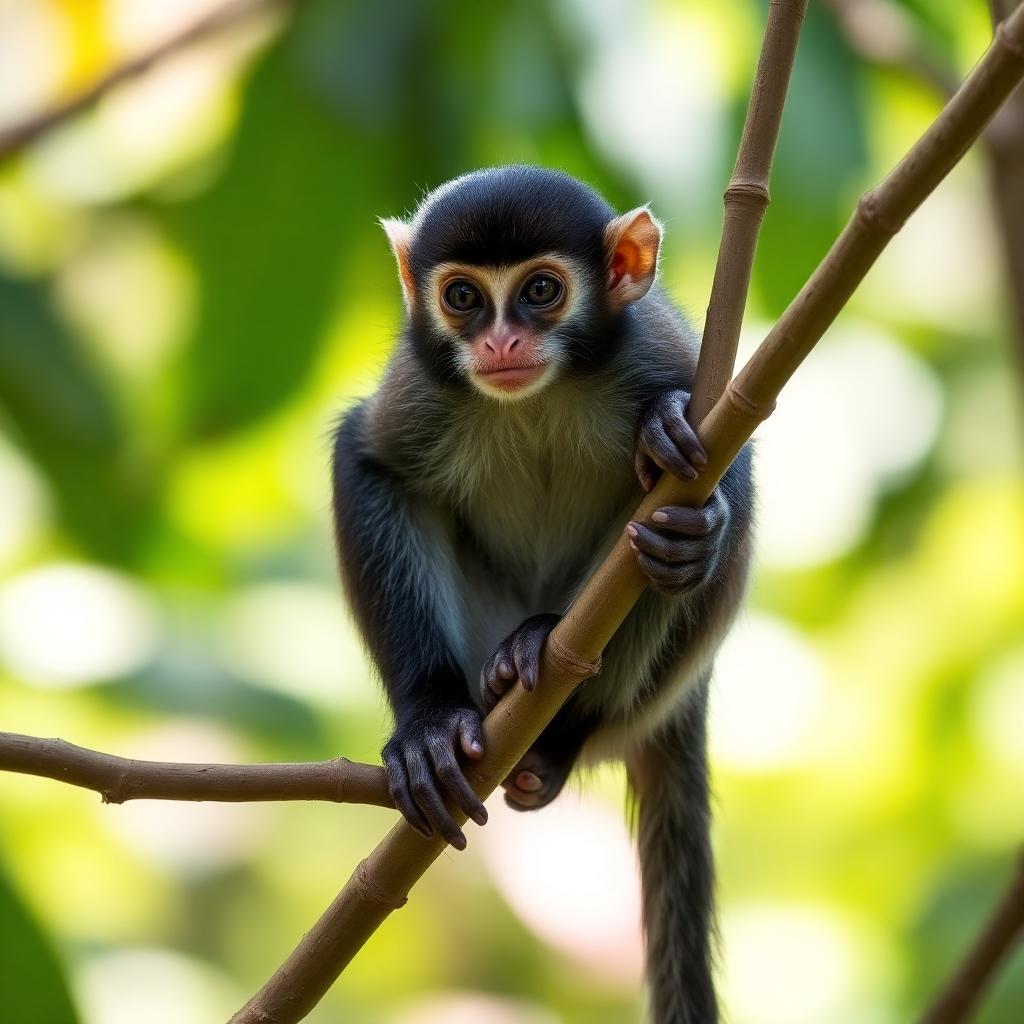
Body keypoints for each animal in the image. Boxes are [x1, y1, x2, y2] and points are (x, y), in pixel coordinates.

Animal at [331, 165, 753, 1024]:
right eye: (463, 297)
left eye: (540, 291)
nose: (501, 342)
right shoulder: (421, 387)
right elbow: (369, 458)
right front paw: (428, 725)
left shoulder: (659, 351)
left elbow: (729, 455)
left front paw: (688, 492)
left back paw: (556, 714)